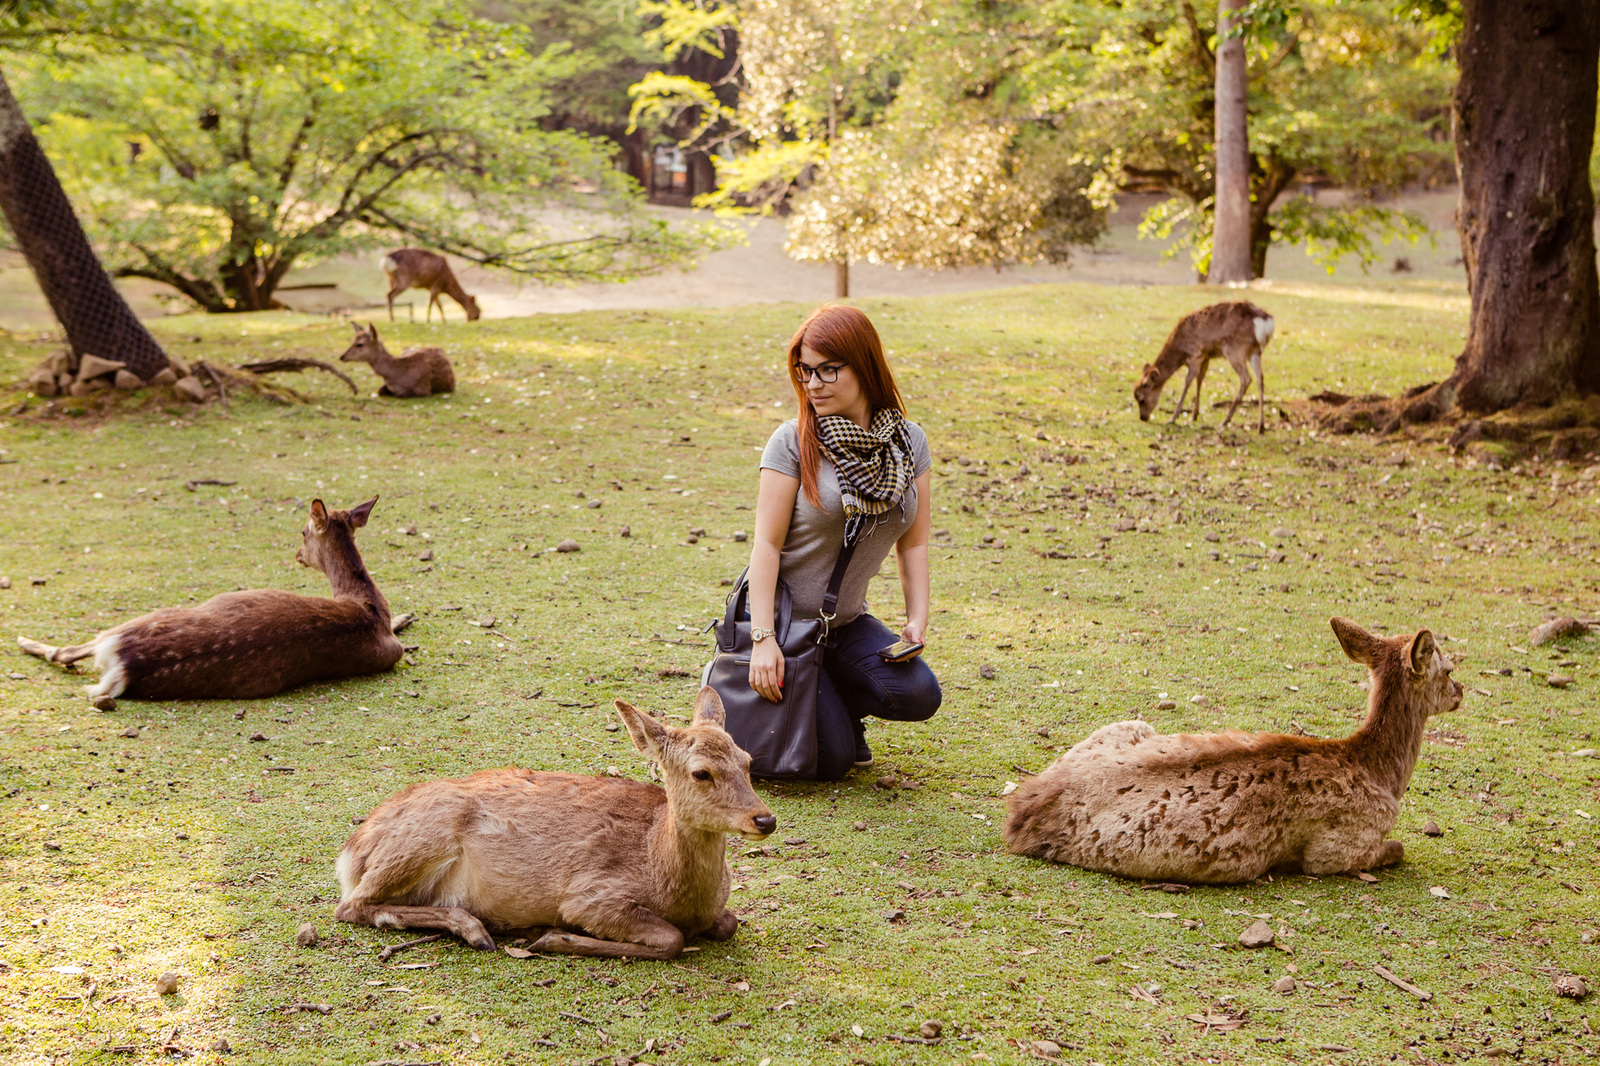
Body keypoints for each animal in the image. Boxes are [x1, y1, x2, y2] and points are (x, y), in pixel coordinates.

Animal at [17, 496, 406, 697]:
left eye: (301, 531)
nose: (297, 554)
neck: (369, 605)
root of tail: (124, 662)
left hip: (140, 619)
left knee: (66, 652)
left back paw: (23, 640)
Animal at [334, 685, 777, 960]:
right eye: (701, 773)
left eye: (747, 761)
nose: (765, 819)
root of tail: (352, 852)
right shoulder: (590, 895)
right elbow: (672, 939)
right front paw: (554, 937)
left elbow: (729, 922)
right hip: (419, 842)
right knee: (352, 906)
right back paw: (477, 929)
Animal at [1004, 614, 1465, 877]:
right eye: (1447, 669)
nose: (1461, 692)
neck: (1377, 772)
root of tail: (1019, 814)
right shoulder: (1336, 849)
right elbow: (1398, 848)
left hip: (1131, 723)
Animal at [1132, 299, 1280, 432]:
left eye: (1141, 399)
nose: (1142, 417)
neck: (1180, 350)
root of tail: (1265, 322)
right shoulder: (1206, 356)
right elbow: (1200, 379)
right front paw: (1194, 415)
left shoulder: (1196, 355)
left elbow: (1188, 382)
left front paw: (1173, 417)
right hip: (1255, 351)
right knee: (1260, 379)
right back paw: (1261, 426)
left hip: (1235, 349)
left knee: (1246, 379)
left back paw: (1225, 421)